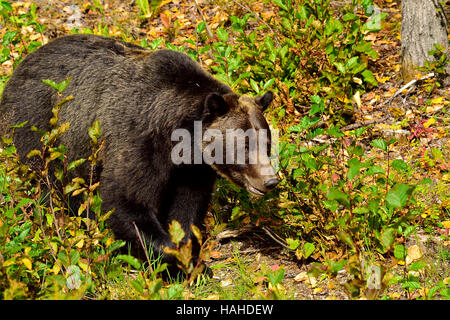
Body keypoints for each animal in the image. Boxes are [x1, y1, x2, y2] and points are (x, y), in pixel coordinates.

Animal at [0, 34, 278, 270]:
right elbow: (126, 200)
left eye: (266, 143)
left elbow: (187, 208)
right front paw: (176, 259)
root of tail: (21, 65)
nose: (270, 180)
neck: (178, 135)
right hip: (36, 128)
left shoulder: (192, 168)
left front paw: (189, 256)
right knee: (47, 183)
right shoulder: (140, 140)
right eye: (245, 145)